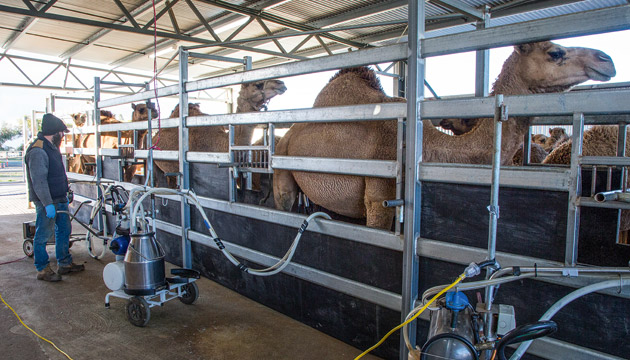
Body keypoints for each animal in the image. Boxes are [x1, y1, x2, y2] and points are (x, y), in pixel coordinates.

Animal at [272, 41, 616, 228]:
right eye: (554, 52)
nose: (607, 60)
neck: (429, 148)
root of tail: (286, 135)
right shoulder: (379, 197)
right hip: (283, 170)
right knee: (284, 199)